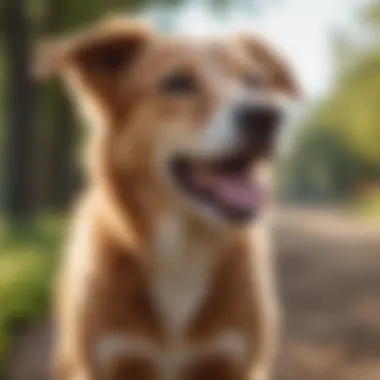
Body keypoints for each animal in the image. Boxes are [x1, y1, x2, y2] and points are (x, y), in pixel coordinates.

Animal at [35, 17, 300, 380]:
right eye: (177, 83)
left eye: (254, 81)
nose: (266, 116)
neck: (182, 249)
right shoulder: (110, 360)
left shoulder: (235, 361)